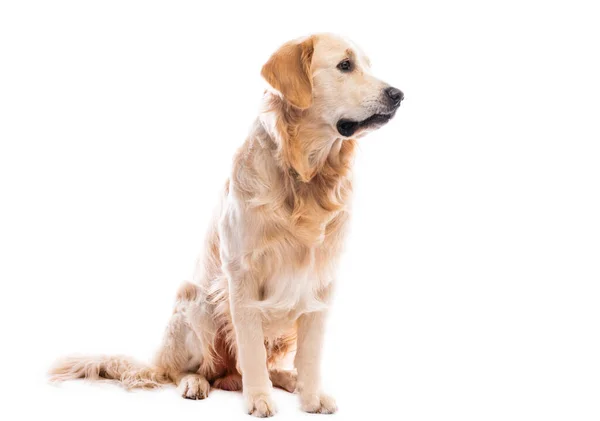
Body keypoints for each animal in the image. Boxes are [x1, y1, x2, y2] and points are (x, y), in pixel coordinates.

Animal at [50, 33, 404, 416]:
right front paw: (259, 399)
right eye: (345, 65)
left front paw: (311, 396)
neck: (304, 175)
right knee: (187, 370)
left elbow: (311, 353)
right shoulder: (241, 274)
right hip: (197, 302)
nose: (398, 95)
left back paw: (286, 379)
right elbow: (250, 349)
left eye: (368, 65)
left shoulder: (321, 280)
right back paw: (197, 382)